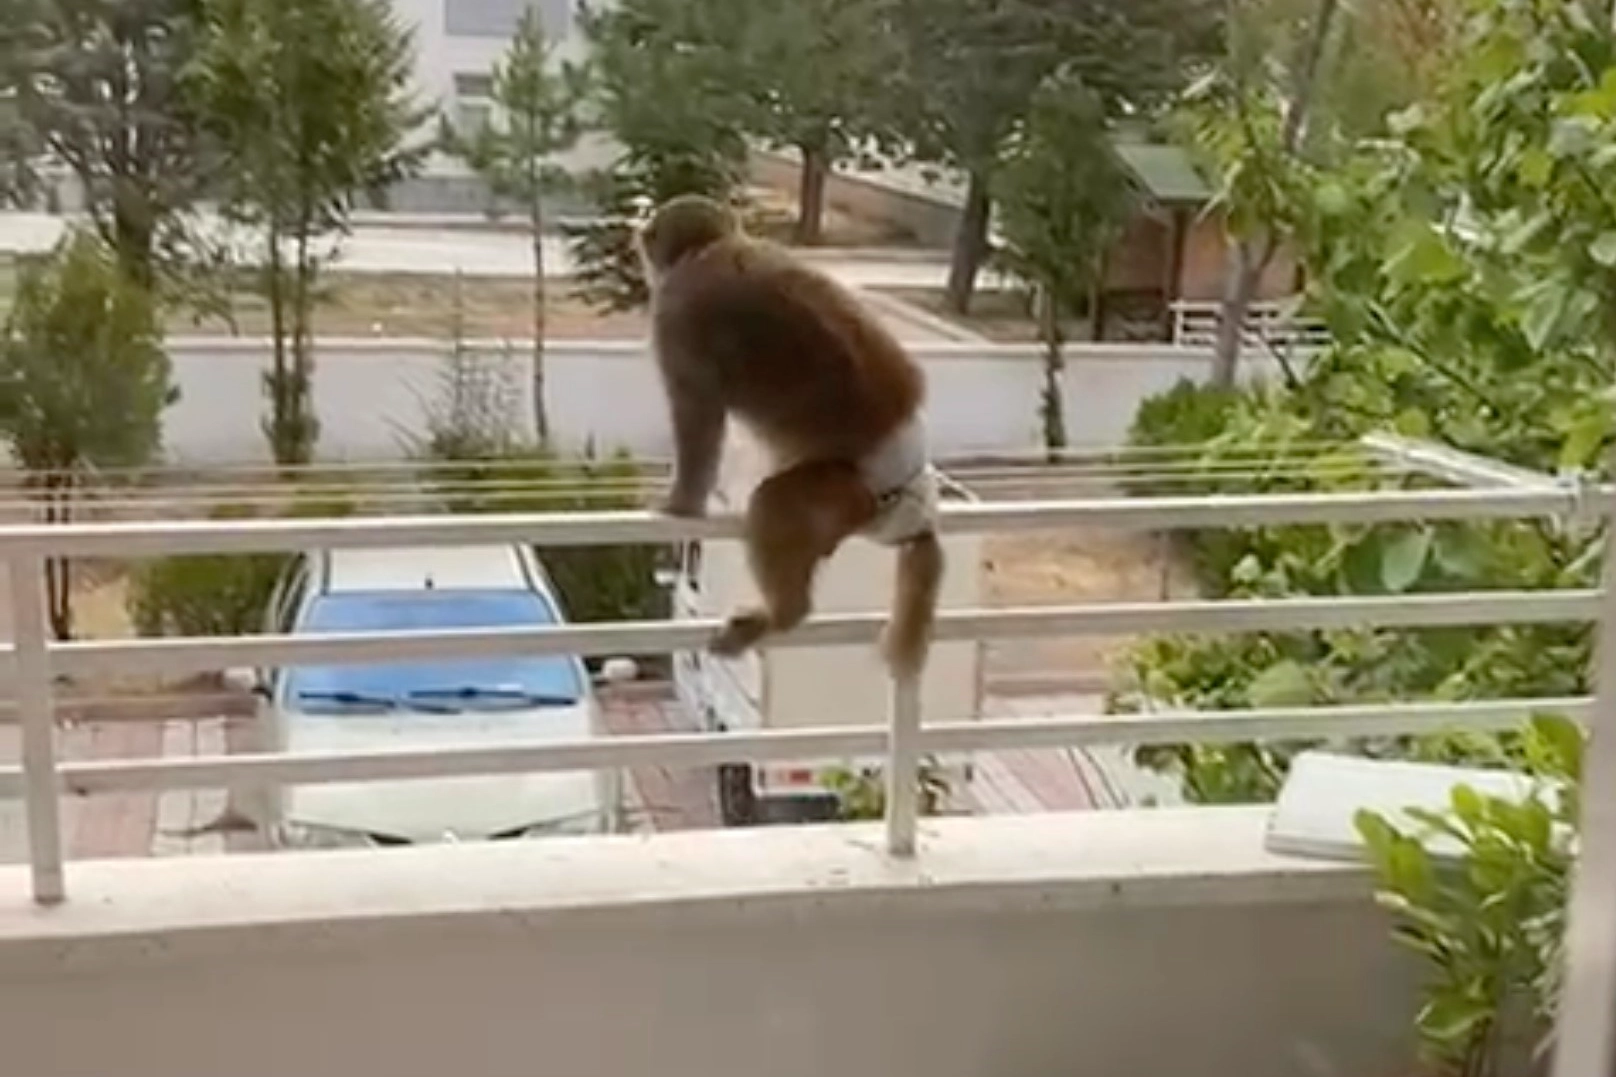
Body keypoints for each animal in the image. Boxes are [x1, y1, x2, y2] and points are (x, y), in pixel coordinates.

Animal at [638, 193, 945, 678]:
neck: (716, 247)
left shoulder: (676, 313)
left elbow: (698, 415)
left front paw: (679, 506)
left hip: (849, 494)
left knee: (775, 503)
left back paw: (785, 613)